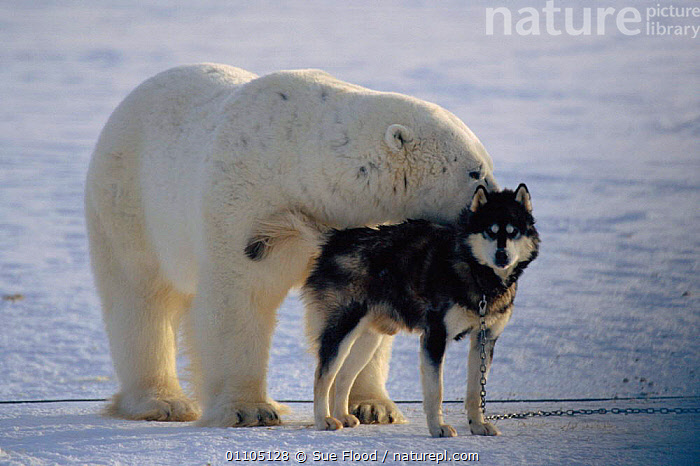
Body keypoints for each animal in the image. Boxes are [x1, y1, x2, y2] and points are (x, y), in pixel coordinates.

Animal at [85, 63, 494, 428]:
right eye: (475, 171)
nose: (492, 204)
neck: (311, 170)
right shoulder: (247, 208)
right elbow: (238, 301)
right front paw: (249, 410)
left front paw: (372, 407)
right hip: (128, 203)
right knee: (140, 301)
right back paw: (162, 402)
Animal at [304, 183, 540, 436]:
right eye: (491, 231)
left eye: (514, 232)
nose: (502, 255)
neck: (479, 277)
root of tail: (335, 240)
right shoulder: (435, 336)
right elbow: (436, 391)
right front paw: (438, 428)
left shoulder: (485, 339)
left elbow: (476, 392)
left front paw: (477, 425)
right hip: (342, 330)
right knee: (322, 377)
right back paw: (323, 420)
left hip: (367, 340)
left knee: (343, 378)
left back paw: (342, 415)